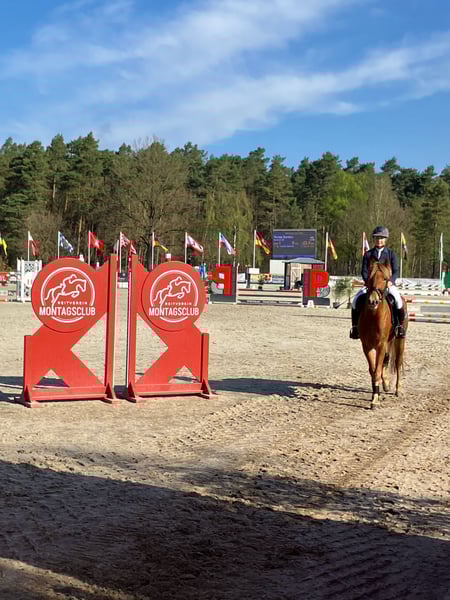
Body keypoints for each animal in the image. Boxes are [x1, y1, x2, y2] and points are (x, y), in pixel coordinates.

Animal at [358, 258, 408, 408]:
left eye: (385, 278)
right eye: (369, 278)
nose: (372, 301)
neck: (374, 316)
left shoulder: (380, 345)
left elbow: (378, 370)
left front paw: (375, 399)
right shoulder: (366, 346)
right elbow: (373, 370)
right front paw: (376, 394)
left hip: (399, 341)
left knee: (397, 363)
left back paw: (397, 390)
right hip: (389, 342)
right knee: (386, 359)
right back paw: (385, 385)